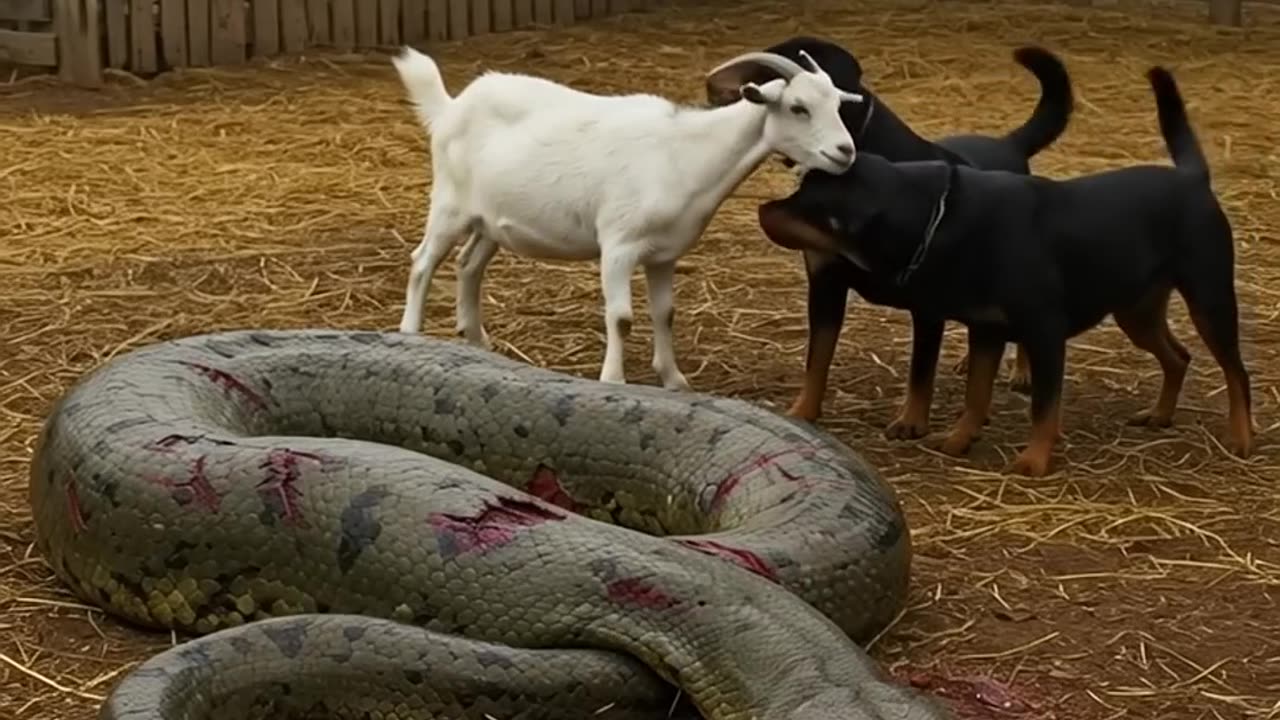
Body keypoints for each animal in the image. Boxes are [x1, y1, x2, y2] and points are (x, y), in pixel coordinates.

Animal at [390, 46, 864, 390]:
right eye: (798, 107)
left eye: (837, 104)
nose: (845, 152)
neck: (685, 153)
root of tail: (451, 106)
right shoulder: (618, 245)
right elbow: (621, 317)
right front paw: (613, 381)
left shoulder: (663, 255)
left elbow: (665, 313)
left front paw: (674, 381)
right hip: (449, 205)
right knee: (422, 262)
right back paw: (410, 334)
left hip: (490, 220)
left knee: (468, 264)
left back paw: (478, 341)